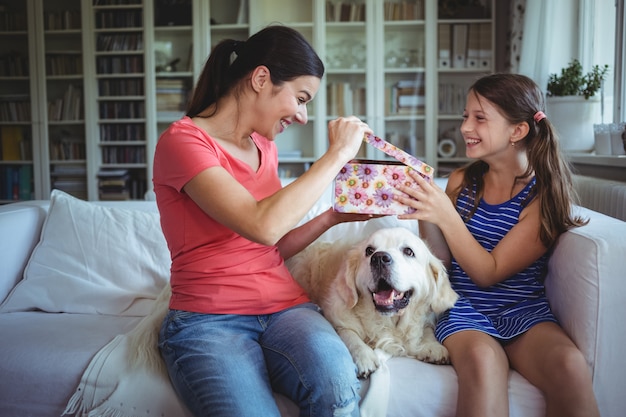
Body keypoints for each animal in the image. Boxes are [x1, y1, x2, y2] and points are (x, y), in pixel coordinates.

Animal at [286, 228, 456, 376]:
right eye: (369, 251)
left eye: (408, 251)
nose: (379, 258)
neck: (389, 322)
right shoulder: (337, 318)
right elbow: (350, 335)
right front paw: (365, 357)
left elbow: (426, 328)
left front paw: (432, 345)